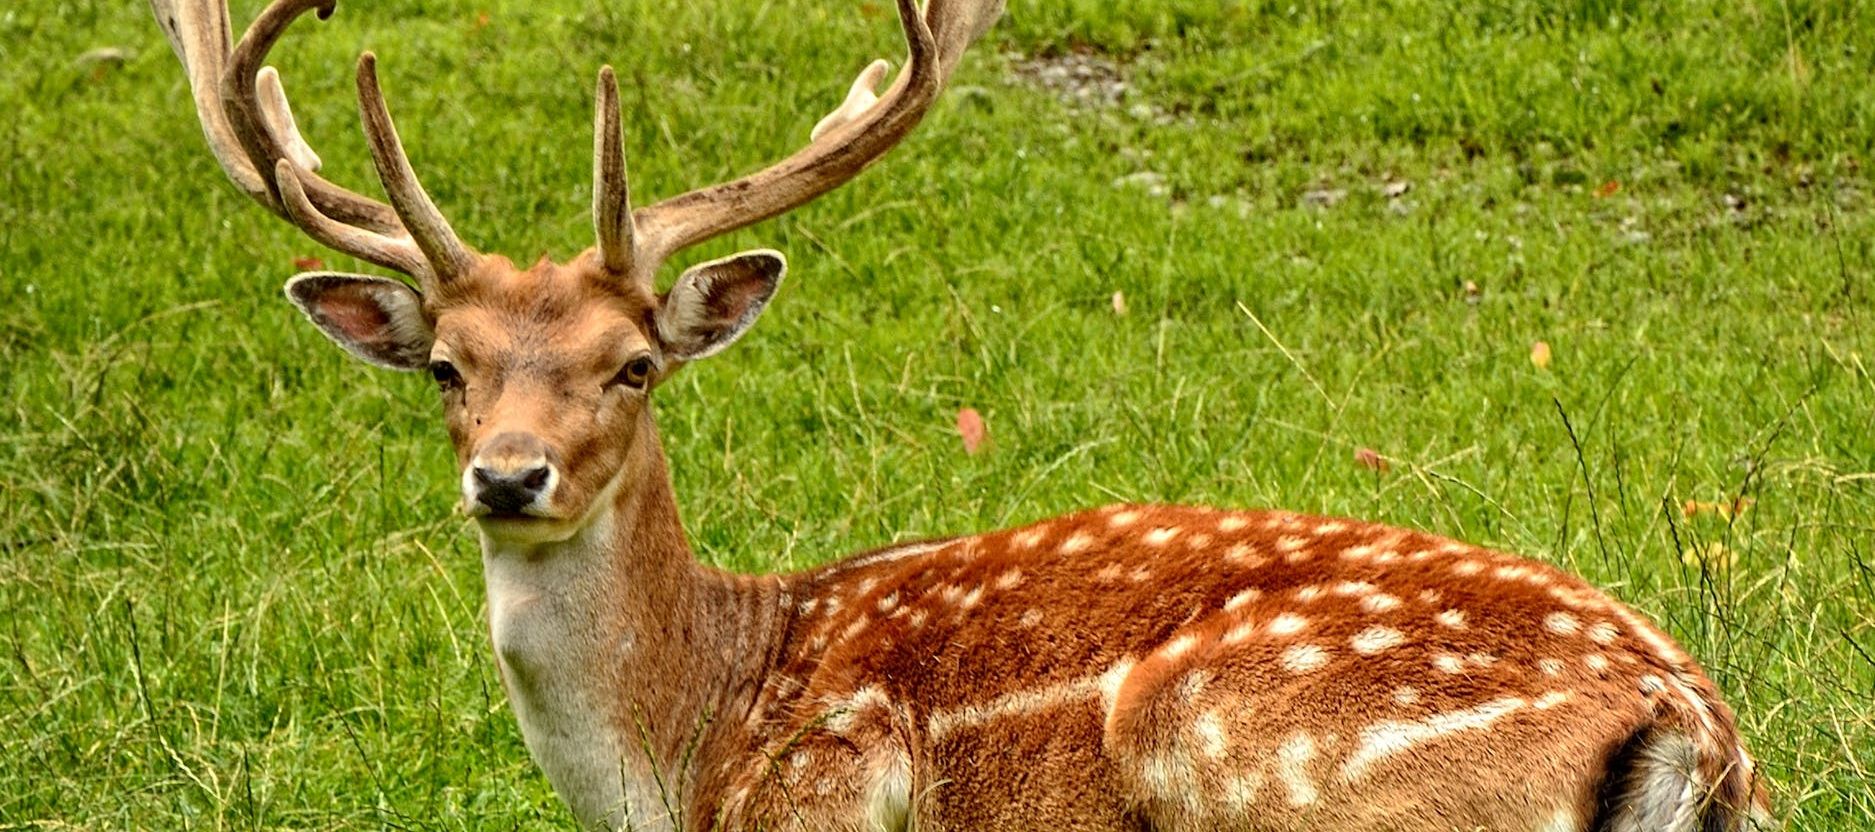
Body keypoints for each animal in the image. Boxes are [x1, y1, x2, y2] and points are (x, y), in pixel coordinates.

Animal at [148, 0, 1771, 829]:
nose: (508, 474)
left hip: (1253, 756)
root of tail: (1687, 725)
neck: (687, 747)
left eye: (633, 363)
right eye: (446, 366)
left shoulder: (826, 790)